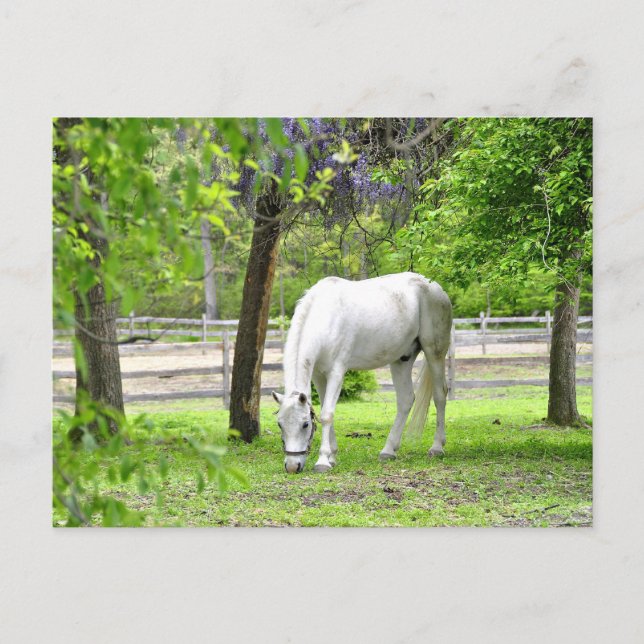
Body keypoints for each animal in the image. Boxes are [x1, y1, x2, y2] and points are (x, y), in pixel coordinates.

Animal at [272, 271, 453, 474]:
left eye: (305, 424)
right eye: (280, 424)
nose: (292, 466)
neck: (326, 317)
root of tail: (435, 287)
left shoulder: (337, 372)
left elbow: (327, 414)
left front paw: (323, 461)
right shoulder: (318, 375)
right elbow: (325, 410)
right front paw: (332, 456)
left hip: (434, 352)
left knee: (440, 396)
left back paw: (437, 447)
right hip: (401, 360)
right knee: (406, 400)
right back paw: (388, 451)